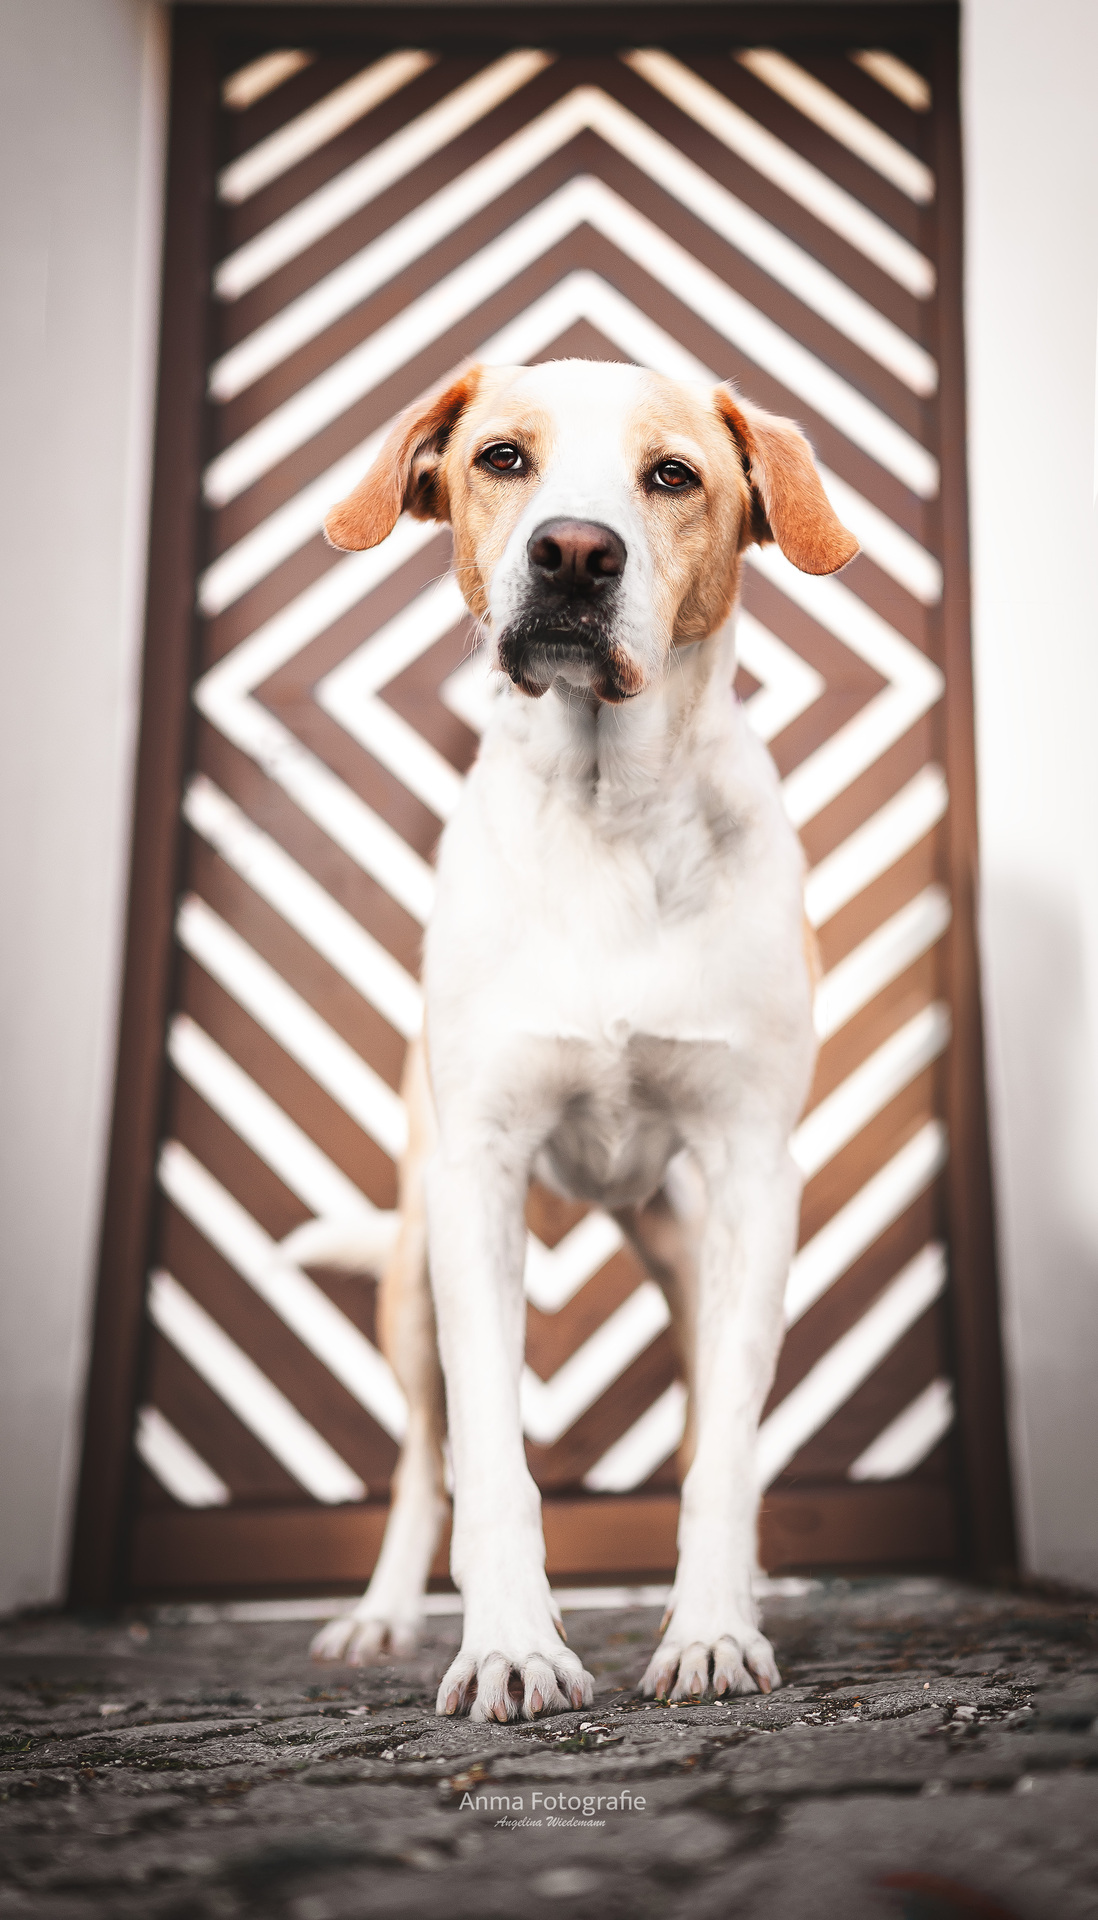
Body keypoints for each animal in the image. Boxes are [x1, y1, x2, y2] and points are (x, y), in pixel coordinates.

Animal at [307, 358, 857, 1719]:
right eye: (503, 457)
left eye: (673, 475)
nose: (572, 551)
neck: (612, 812)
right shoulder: (479, 1178)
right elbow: (491, 1460)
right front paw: (510, 1644)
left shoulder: (753, 1174)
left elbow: (724, 1457)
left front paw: (711, 1629)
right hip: (411, 1268)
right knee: (420, 1461)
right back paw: (381, 1615)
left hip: (689, 1249)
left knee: (718, 1422)